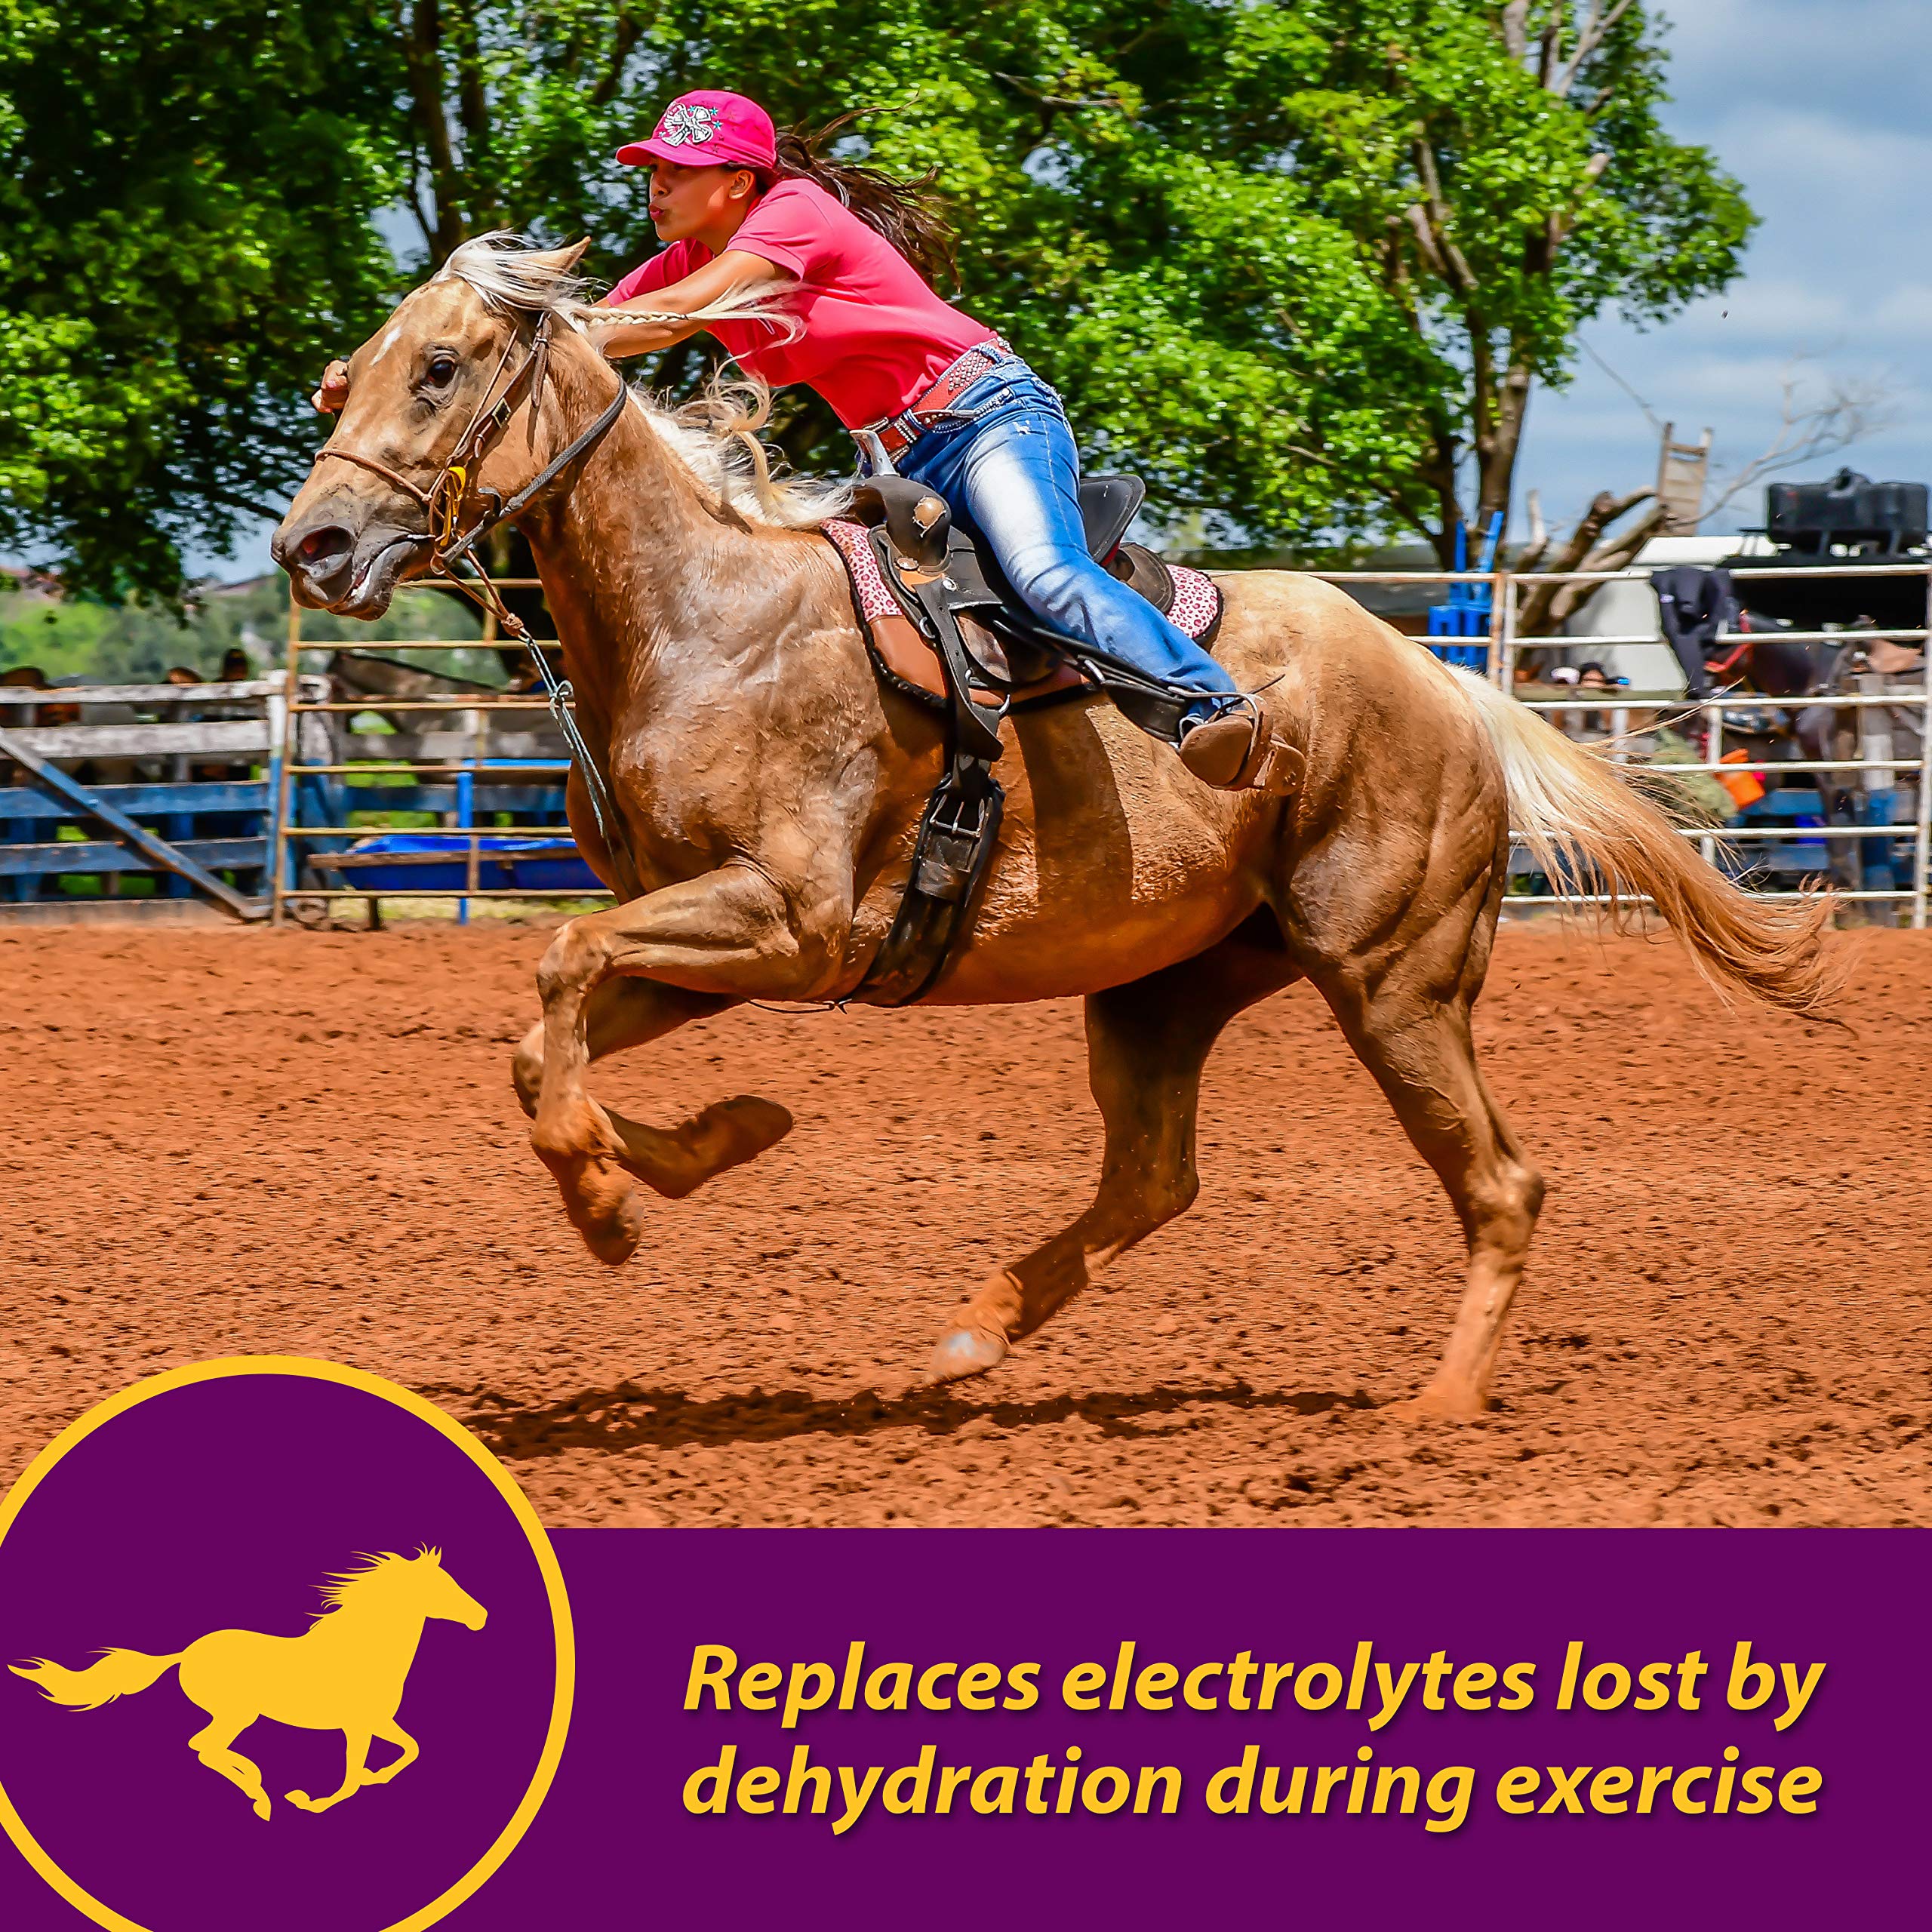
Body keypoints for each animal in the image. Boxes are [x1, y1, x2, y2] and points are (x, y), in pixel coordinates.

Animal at [10, 1548, 485, 1820]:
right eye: (442, 1587)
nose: (480, 1617)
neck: (365, 1652)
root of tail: (185, 1653)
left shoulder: (378, 1722)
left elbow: (410, 1750)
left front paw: (375, 1777)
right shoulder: (356, 1727)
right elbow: (350, 1778)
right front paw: (310, 1801)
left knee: (204, 1748)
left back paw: (258, 1788)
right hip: (237, 1714)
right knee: (203, 1747)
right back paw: (261, 1794)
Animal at [271, 237, 1837, 1420]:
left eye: (440, 366)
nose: (312, 547)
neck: (705, 618)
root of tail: (1449, 685)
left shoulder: (787, 918)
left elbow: (558, 980)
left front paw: (611, 1203)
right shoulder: (723, 938)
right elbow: (548, 1035)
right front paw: (713, 1141)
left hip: (1395, 980)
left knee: (1501, 1184)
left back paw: (1438, 1410)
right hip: (1166, 986)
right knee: (1152, 1176)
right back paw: (977, 1329)